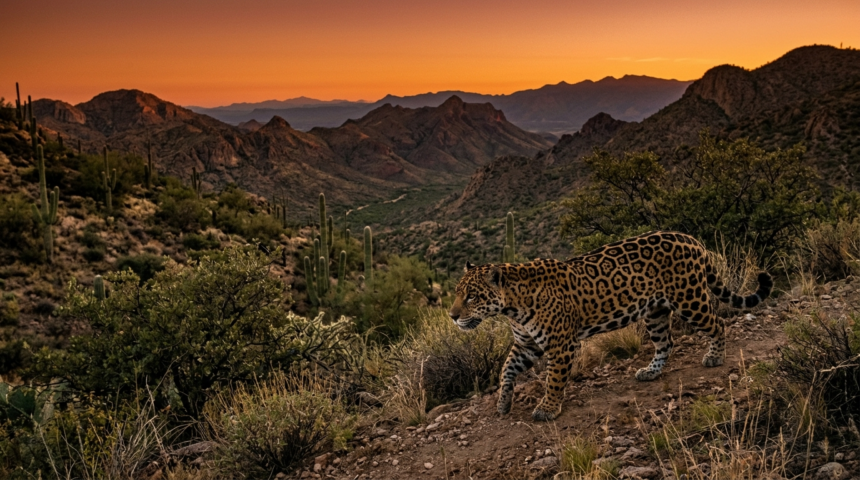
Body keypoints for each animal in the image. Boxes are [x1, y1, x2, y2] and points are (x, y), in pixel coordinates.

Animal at [448, 230, 772, 422]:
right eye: (457, 292)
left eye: (472, 296)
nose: (452, 316)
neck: (512, 305)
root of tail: (692, 239)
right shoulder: (526, 344)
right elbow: (506, 369)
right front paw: (503, 403)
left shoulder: (561, 345)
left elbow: (554, 379)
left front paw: (547, 409)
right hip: (654, 311)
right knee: (666, 342)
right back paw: (650, 372)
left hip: (689, 299)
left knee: (717, 322)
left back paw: (715, 356)